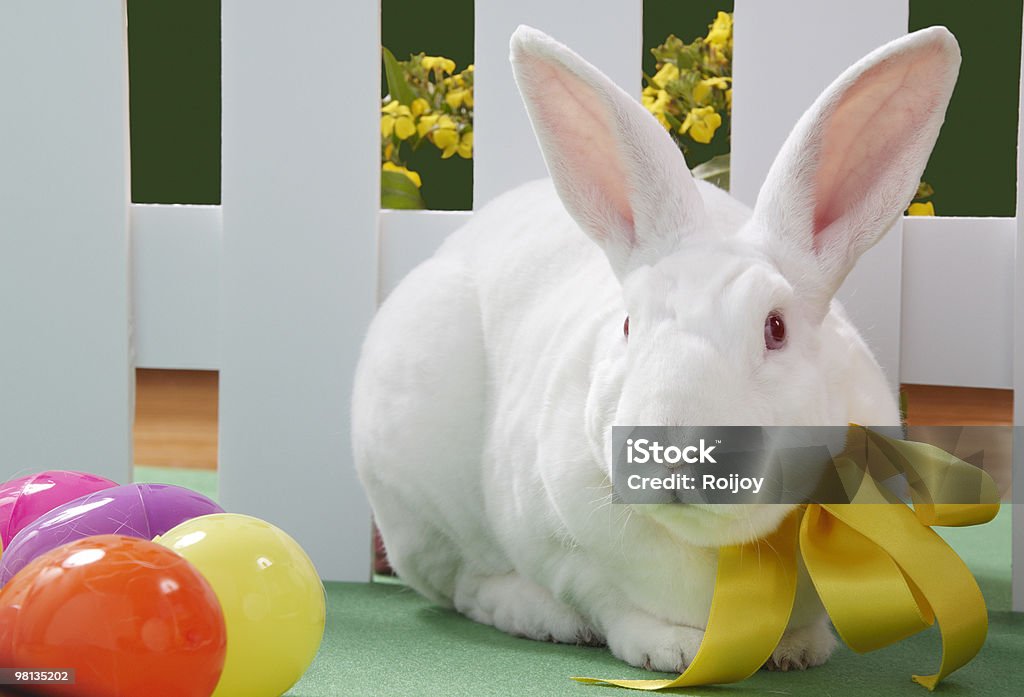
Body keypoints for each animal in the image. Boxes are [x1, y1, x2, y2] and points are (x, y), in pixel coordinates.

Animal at [354, 24, 958, 671]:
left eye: (775, 328)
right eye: (627, 324)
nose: (674, 452)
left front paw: (800, 650)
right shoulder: (564, 552)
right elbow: (604, 597)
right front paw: (667, 650)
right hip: (418, 497)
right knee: (463, 582)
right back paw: (533, 613)